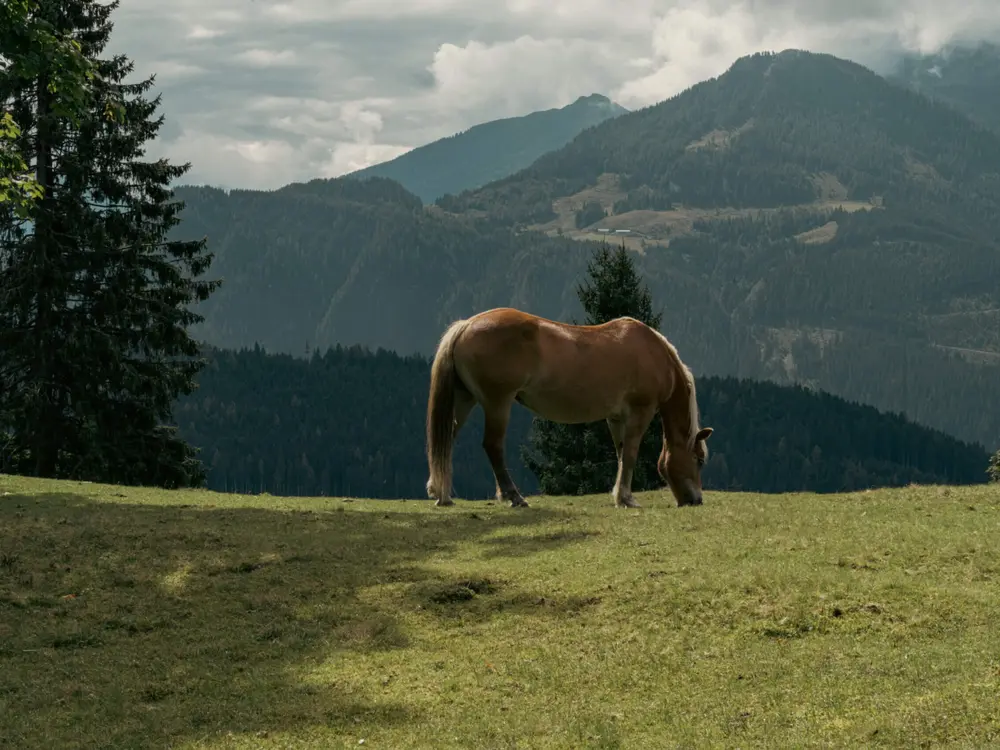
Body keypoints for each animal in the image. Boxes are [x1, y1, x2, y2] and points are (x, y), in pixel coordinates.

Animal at [424, 307, 713, 509]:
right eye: (699, 460)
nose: (696, 500)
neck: (654, 353)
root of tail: (466, 325)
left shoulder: (616, 418)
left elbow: (621, 454)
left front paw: (619, 496)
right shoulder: (639, 412)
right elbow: (630, 454)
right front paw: (627, 498)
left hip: (464, 399)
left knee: (446, 439)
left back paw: (442, 495)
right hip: (498, 403)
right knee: (493, 446)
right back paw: (514, 496)